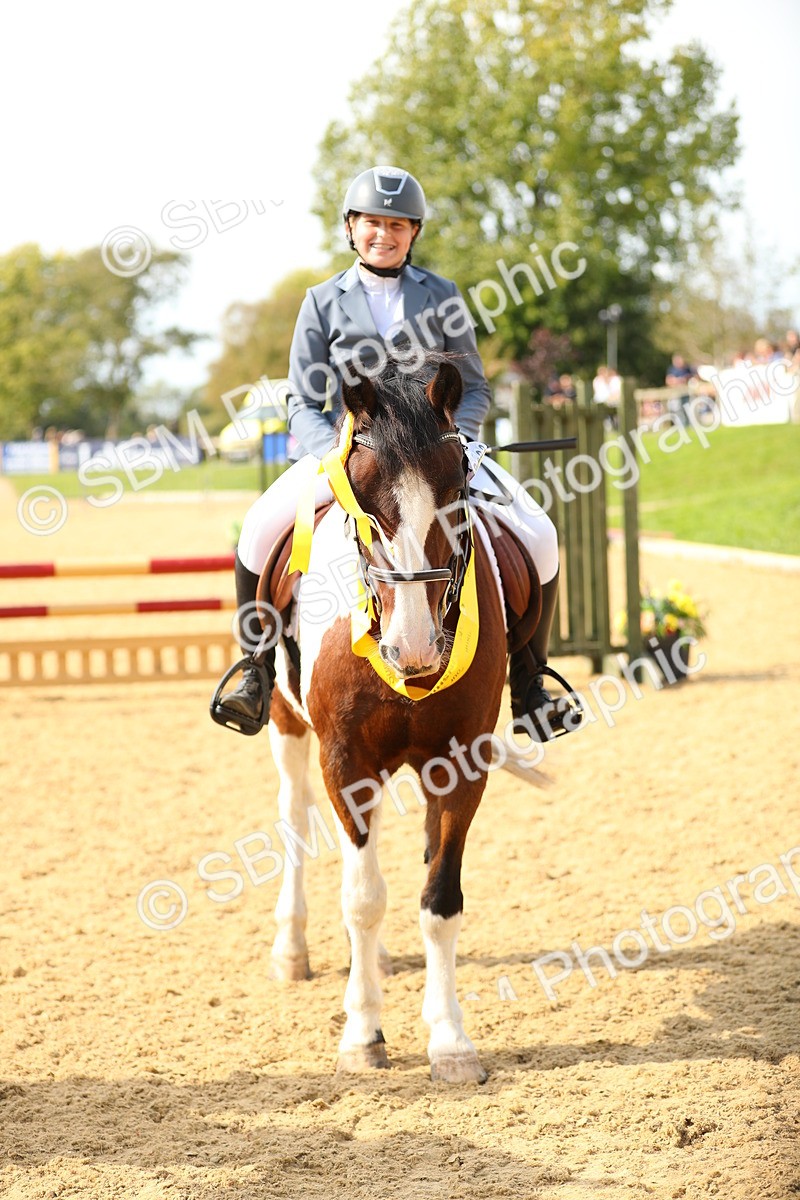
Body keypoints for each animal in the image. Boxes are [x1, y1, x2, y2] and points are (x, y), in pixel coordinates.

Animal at [259, 356, 536, 1084]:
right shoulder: (345, 760)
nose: (414, 650)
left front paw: (451, 1042)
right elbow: (363, 899)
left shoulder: (460, 763)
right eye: (362, 501)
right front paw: (363, 1035)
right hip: (286, 724)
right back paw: (292, 949)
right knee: (296, 816)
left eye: (457, 492)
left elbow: (439, 901)